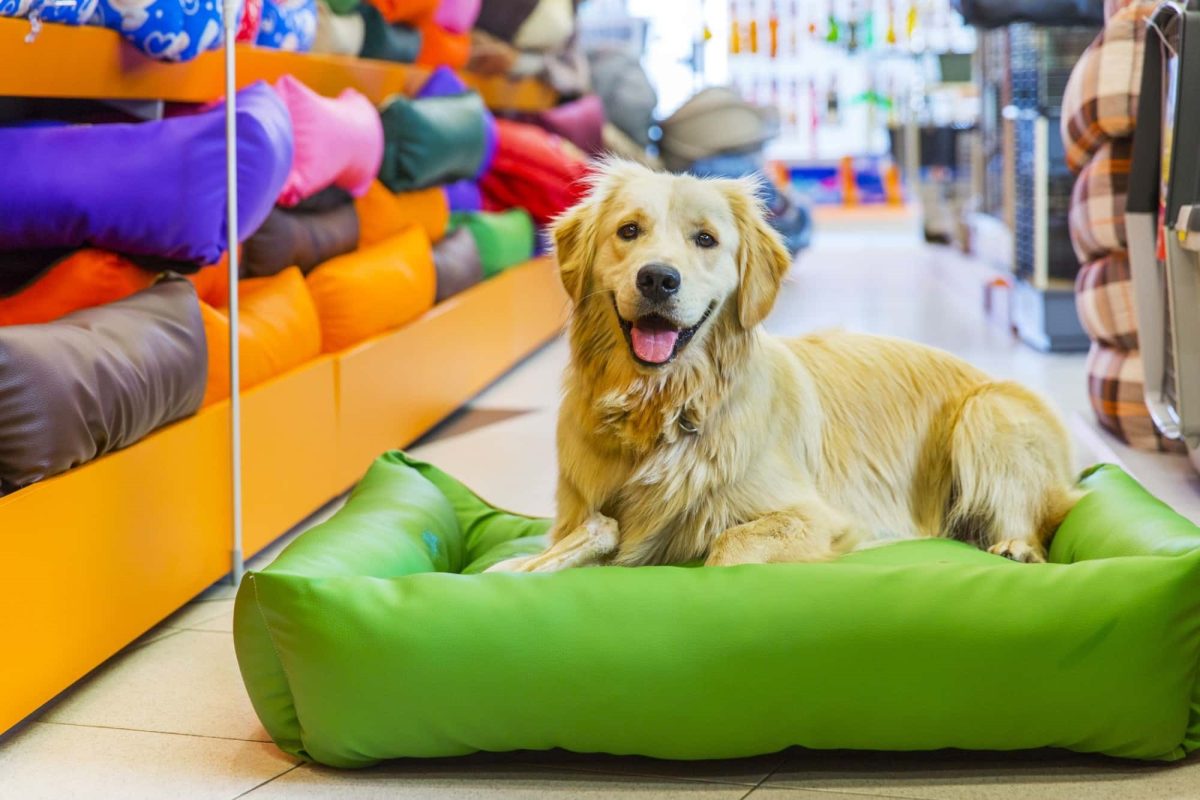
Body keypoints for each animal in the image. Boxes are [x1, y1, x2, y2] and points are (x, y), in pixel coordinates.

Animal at [487, 160, 1080, 575]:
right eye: (628, 231)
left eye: (706, 239)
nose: (658, 278)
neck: (664, 405)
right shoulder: (573, 517)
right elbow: (563, 546)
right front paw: (518, 565)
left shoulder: (818, 517)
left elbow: (727, 546)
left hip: (987, 413)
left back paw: (1016, 547)